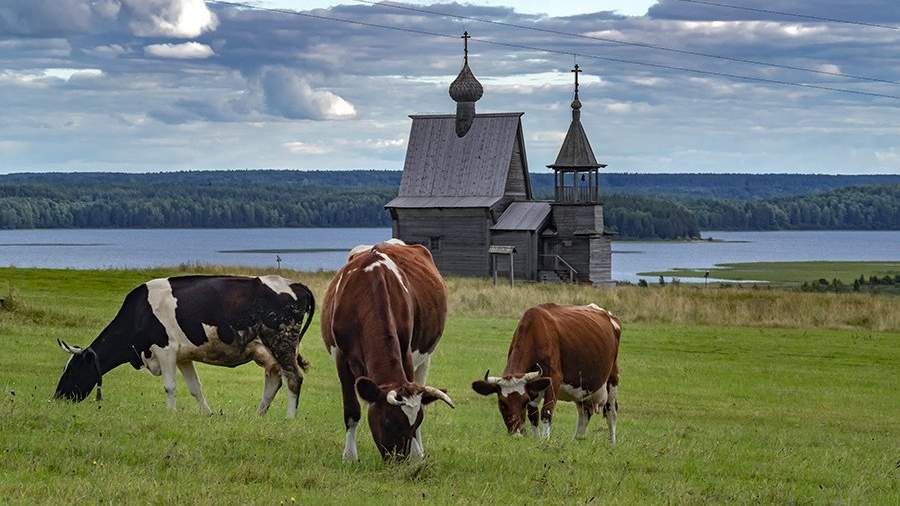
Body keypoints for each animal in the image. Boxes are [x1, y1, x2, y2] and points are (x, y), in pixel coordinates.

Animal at [54, 274, 316, 418]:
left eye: (72, 370)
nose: (57, 397)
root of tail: (295, 285)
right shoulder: (183, 357)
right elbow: (195, 388)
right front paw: (207, 414)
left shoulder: (165, 349)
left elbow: (169, 386)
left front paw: (170, 413)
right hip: (267, 350)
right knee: (274, 380)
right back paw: (258, 415)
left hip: (283, 342)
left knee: (294, 378)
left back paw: (289, 418)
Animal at [320, 238, 454, 462]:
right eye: (388, 422)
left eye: (416, 422)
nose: (398, 460)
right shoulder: (341, 357)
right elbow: (352, 411)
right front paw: (349, 457)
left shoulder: (406, 352)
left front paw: (417, 455)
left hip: (425, 359)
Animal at [472, 302, 620, 440]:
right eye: (502, 404)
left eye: (524, 401)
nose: (517, 435)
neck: (534, 332)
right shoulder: (533, 386)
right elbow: (533, 414)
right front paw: (536, 440)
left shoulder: (554, 379)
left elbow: (546, 411)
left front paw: (545, 441)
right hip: (583, 390)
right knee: (584, 414)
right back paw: (577, 440)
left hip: (612, 380)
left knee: (611, 413)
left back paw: (611, 443)